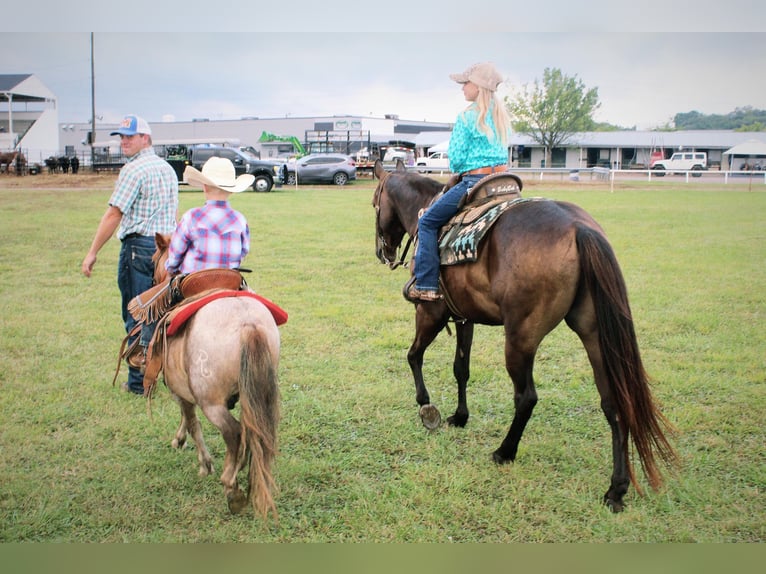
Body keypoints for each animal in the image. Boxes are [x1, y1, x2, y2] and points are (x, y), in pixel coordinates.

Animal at [146, 236, 280, 520]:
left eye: (153, 260)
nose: (153, 281)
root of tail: (247, 324)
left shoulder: (180, 390)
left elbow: (191, 421)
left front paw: (202, 461)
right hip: (257, 392)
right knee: (254, 430)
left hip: (212, 402)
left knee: (234, 432)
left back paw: (232, 487)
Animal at [372, 161, 680, 512]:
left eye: (374, 203)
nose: (382, 252)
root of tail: (578, 228)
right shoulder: (464, 317)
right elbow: (461, 369)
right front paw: (460, 417)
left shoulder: (430, 312)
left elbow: (413, 355)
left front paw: (426, 407)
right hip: (595, 334)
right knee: (613, 401)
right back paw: (616, 488)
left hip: (520, 337)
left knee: (526, 397)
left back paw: (504, 451)